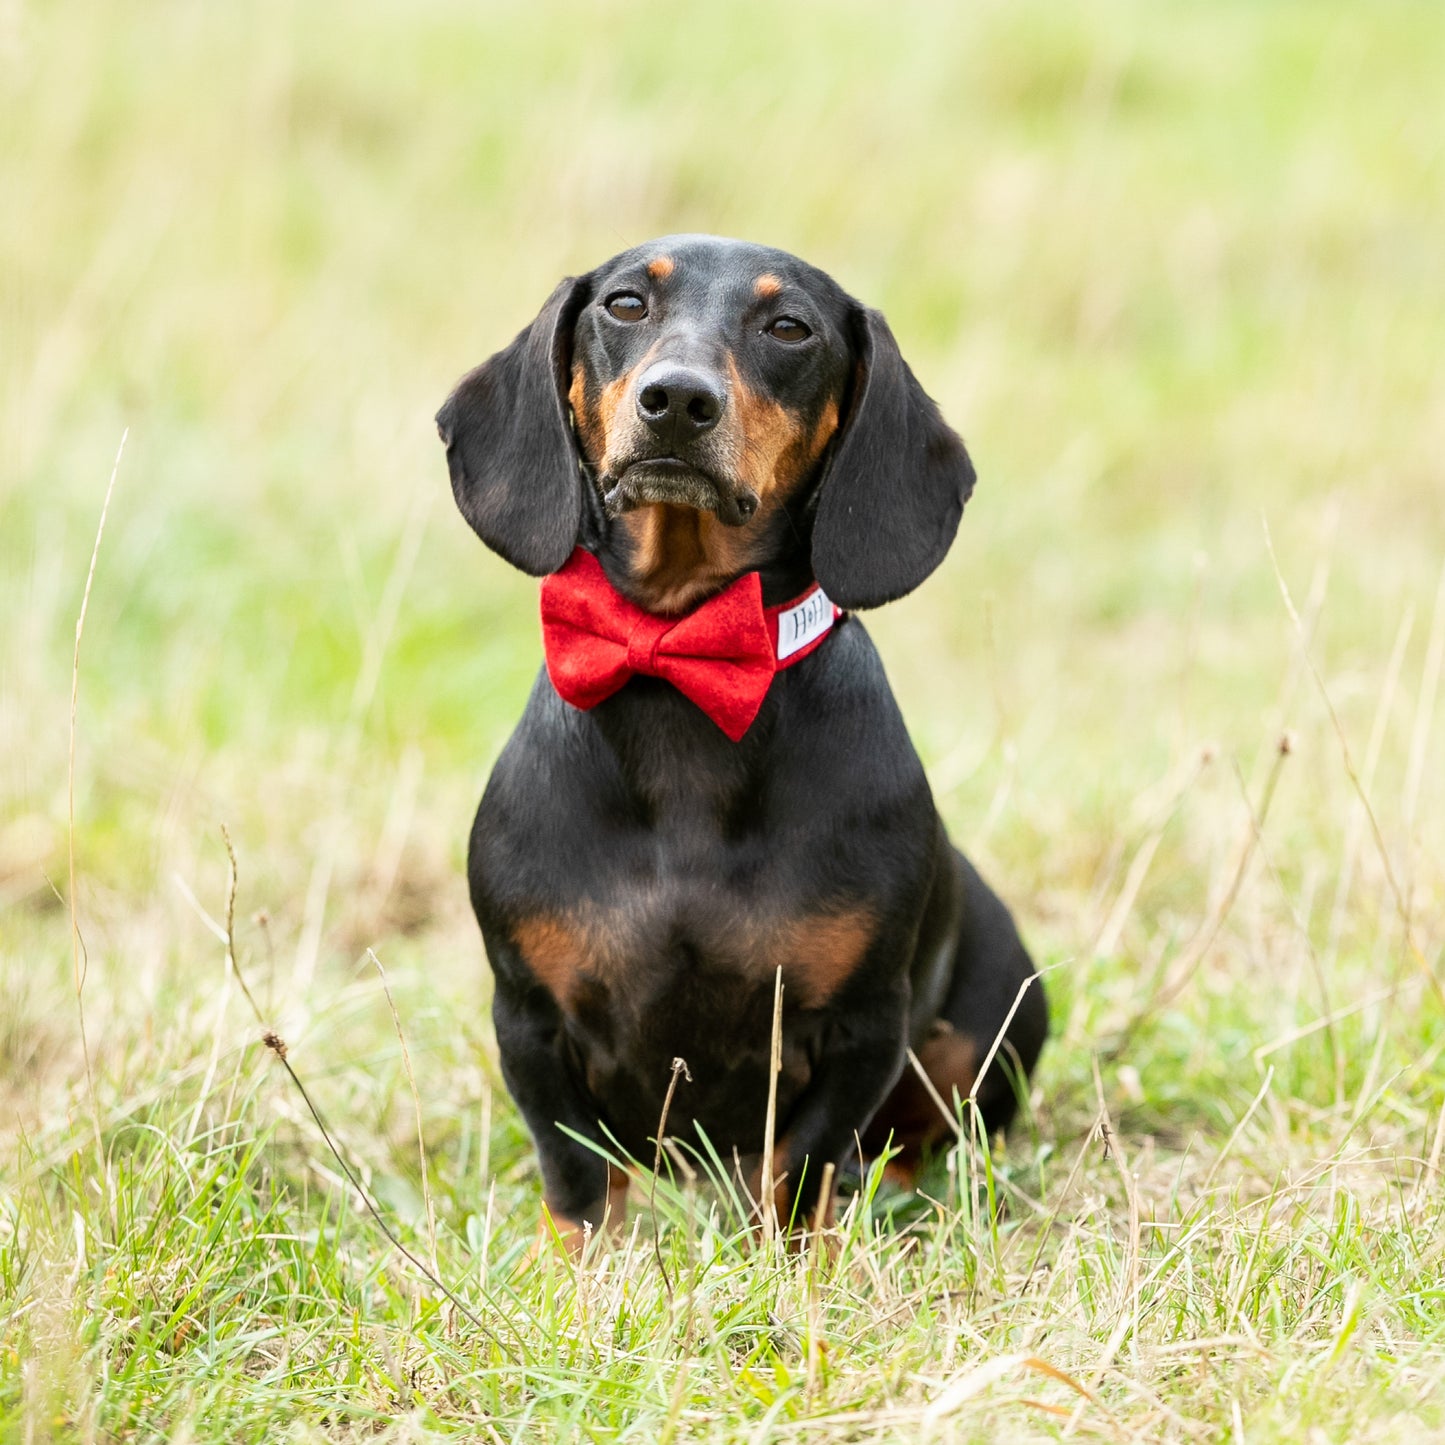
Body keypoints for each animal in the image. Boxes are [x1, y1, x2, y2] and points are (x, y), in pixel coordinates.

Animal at [433, 231, 1046, 1248]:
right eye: (625, 304)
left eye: (789, 326)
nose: (677, 401)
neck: (688, 666)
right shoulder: (528, 1016)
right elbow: (577, 1177)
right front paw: (580, 1269)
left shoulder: (861, 1027)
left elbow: (799, 1170)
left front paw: (794, 1261)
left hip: (991, 1024)